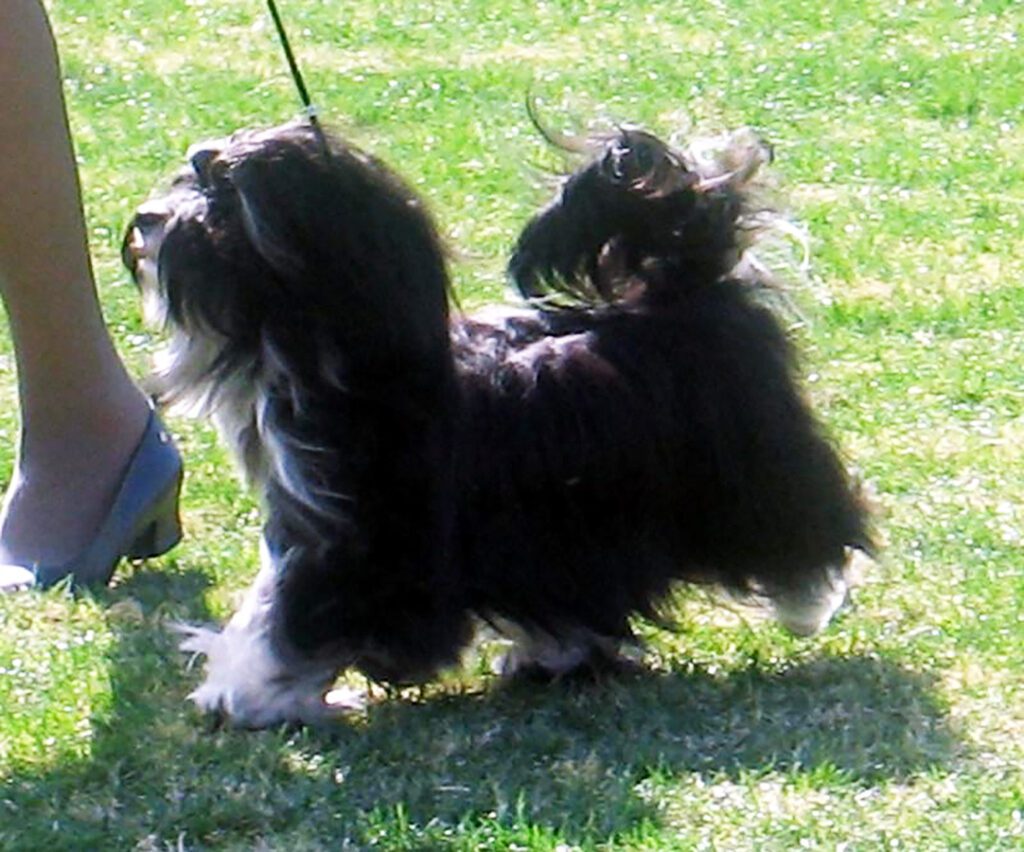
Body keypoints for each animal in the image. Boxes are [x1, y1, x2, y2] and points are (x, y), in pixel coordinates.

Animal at [121, 119, 872, 729]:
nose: (147, 220)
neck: (344, 363)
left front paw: (244, 695)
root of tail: (687, 282)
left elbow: (283, 617)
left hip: (746, 467)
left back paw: (807, 603)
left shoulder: (351, 539)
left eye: (221, 198)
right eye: (191, 175)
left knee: (805, 529)